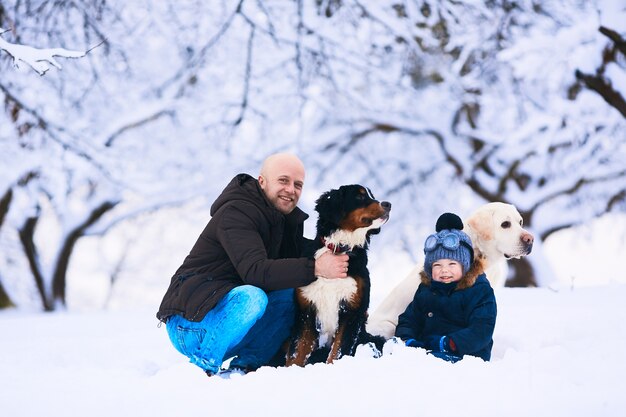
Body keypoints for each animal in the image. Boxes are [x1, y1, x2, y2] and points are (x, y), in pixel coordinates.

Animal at [286, 184, 388, 366]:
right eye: (360, 196)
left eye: (371, 195)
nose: (388, 204)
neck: (339, 249)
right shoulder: (306, 311)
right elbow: (296, 354)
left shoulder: (352, 311)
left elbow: (337, 352)